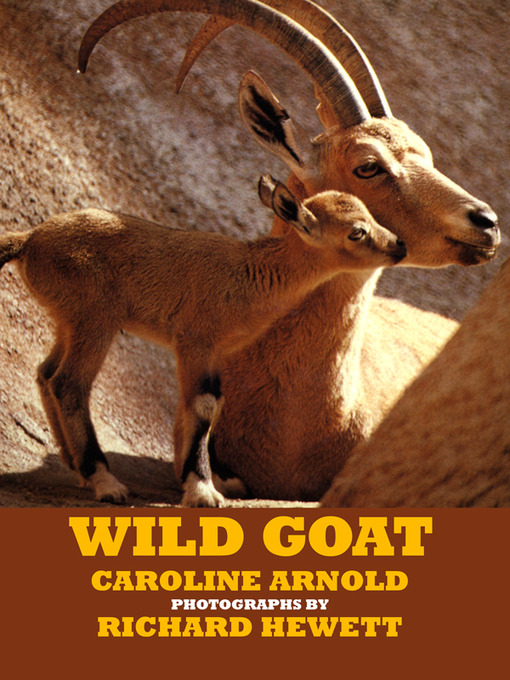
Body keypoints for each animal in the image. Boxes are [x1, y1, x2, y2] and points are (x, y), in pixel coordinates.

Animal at [0, 176, 406, 506]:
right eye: (357, 231)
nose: (399, 245)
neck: (251, 275)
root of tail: (29, 241)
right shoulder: (195, 341)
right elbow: (202, 405)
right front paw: (203, 492)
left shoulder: (215, 353)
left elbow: (206, 405)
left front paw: (210, 483)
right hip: (95, 320)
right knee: (69, 383)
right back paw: (105, 482)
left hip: (68, 320)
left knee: (46, 373)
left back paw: (77, 469)